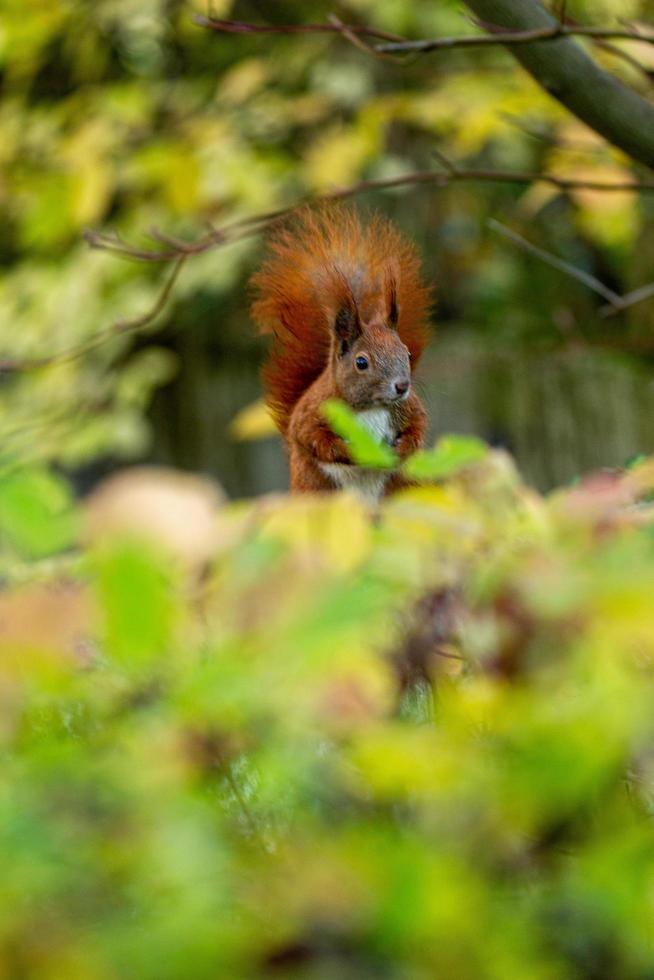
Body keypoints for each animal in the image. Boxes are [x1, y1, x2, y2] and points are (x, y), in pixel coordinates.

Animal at [250, 207, 430, 498]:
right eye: (361, 362)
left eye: (407, 353)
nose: (402, 386)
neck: (371, 406)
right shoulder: (311, 414)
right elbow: (315, 439)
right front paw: (352, 452)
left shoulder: (411, 408)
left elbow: (418, 429)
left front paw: (401, 447)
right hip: (315, 487)